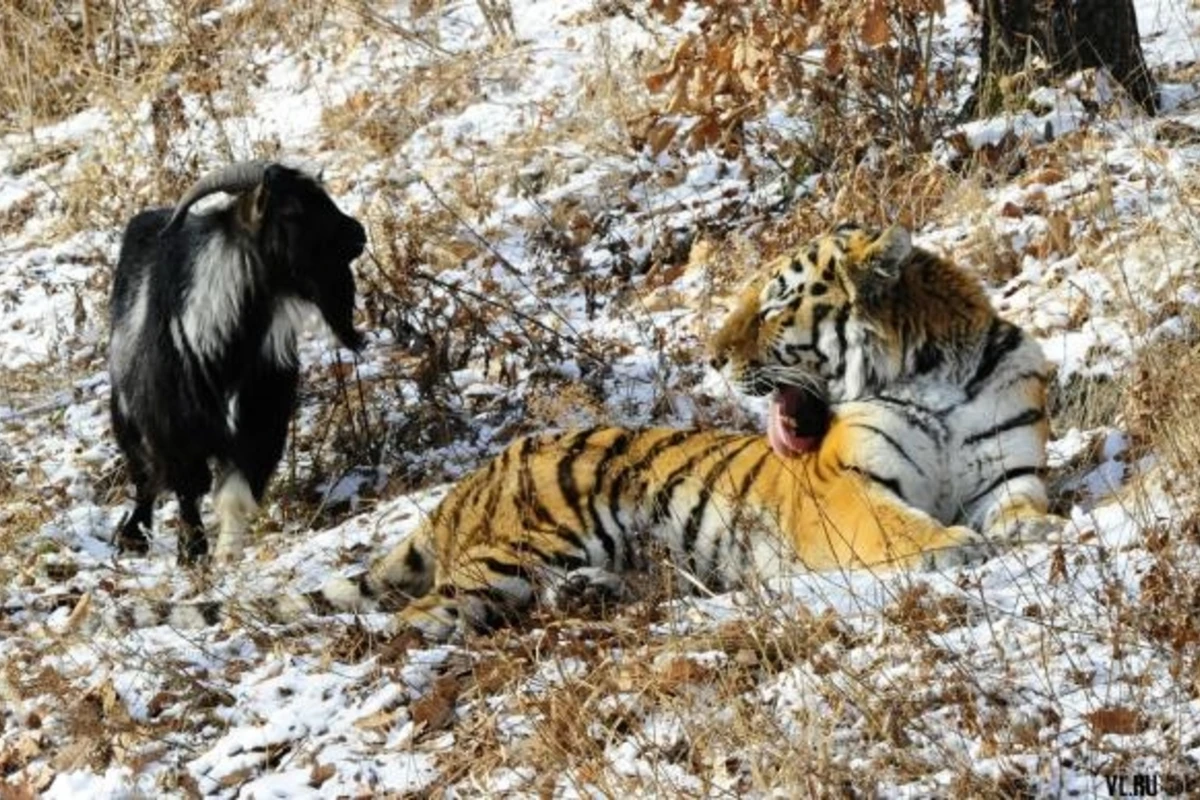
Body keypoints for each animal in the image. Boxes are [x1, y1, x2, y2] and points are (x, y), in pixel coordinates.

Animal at [129, 222, 1055, 642]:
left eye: (777, 304)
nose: (711, 354)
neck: (936, 376)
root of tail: (466, 483)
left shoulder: (1010, 472)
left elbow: (1026, 510)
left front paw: (1032, 534)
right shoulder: (845, 494)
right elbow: (898, 526)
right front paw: (951, 546)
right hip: (519, 551)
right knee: (415, 614)